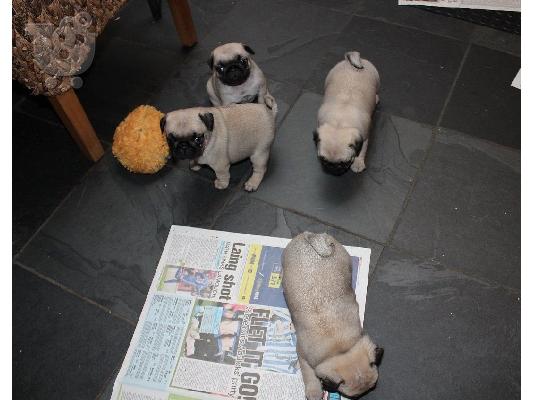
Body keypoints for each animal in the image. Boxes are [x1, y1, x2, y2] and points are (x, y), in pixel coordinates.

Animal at [282, 231, 384, 400]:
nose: (363, 396)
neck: (340, 349)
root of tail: (315, 238)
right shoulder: (303, 356)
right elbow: (309, 375)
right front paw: (315, 392)